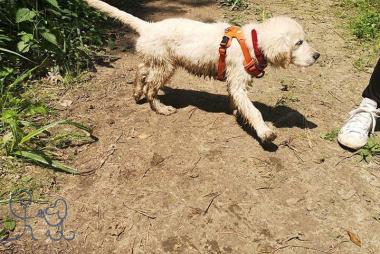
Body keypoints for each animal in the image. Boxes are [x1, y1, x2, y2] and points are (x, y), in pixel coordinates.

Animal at [84, 0, 320, 143]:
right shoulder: (238, 82)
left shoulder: (235, 83)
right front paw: (265, 131)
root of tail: (148, 26)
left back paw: (136, 92)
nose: (317, 55)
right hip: (165, 67)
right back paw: (161, 108)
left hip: (157, 60)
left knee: (141, 71)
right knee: (151, 87)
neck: (254, 43)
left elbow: (238, 102)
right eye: (299, 42)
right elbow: (254, 110)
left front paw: (236, 111)